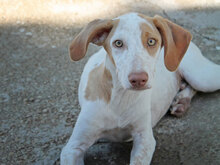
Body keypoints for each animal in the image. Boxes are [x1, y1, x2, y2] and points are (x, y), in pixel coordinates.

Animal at [60, 13, 220, 165]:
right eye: (118, 43)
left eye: (151, 41)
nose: (138, 80)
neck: (121, 97)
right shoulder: (73, 147)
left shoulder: (144, 140)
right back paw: (181, 101)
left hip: (202, 78)